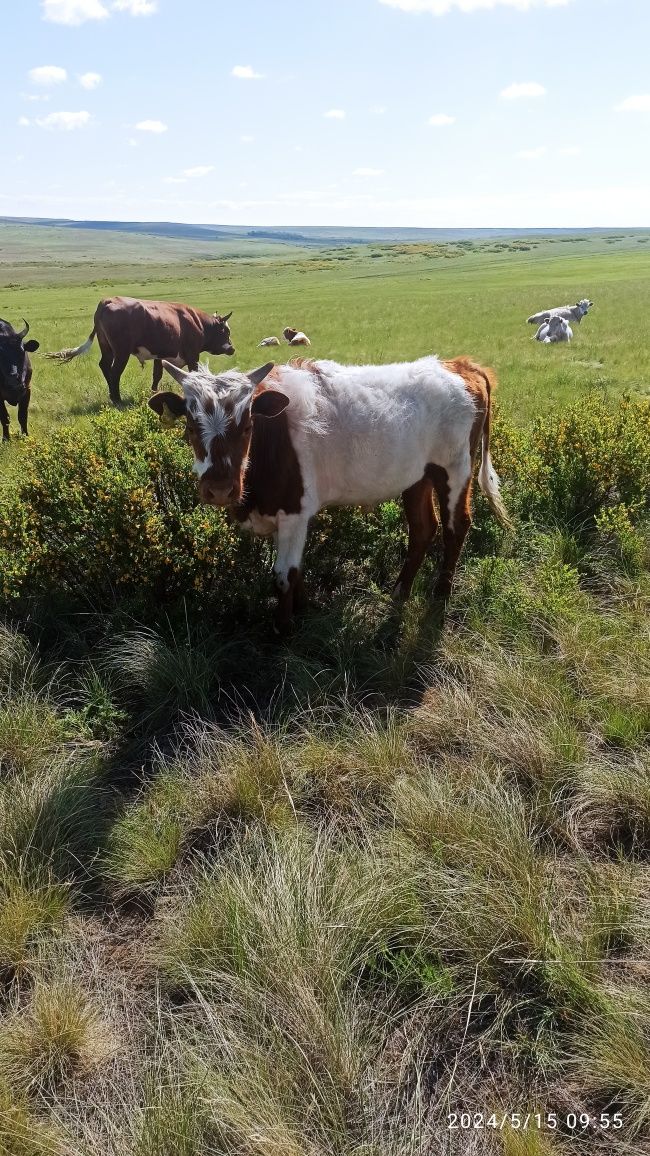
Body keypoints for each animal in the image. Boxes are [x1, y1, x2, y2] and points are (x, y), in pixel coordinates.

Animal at [47, 298, 234, 406]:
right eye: (226, 331)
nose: (232, 348)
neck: (197, 323)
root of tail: (107, 301)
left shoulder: (161, 356)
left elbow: (156, 375)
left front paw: (154, 393)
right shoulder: (192, 356)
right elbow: (193, 374)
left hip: (106, 347)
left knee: (104, 365)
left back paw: (111, 395)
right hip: (121, 351)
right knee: (115, 372)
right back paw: (117, 399)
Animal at [149, 356, 508, 638]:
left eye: (248, 425)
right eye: (190, 427)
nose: (220, 488)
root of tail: (458, 365)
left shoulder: (294, 512)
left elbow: (284, 575)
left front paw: (283, 631)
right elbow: (296, 572)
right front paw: (304, 610)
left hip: (454, 470)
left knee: (456, 527)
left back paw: (440, 595)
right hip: (417, 477)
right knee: (422, 529)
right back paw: (400, 592)